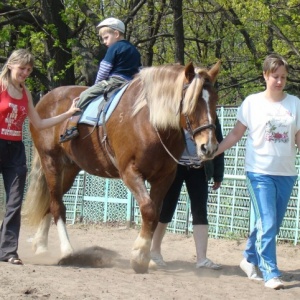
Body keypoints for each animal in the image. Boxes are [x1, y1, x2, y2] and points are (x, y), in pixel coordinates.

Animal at [23, 61, 220, 272]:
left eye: (214, 100)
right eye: (193, 102)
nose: (208, 146)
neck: (148, 121)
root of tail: (46, 99)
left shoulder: (164, 178)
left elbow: (155, 214)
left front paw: (145, 255)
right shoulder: (130, 173)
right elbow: (148, 209)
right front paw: (139, 255)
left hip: (68, 170)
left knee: (51, 201)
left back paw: (41, 246)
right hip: (51, 162)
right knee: (57, 205)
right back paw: (67, 250)